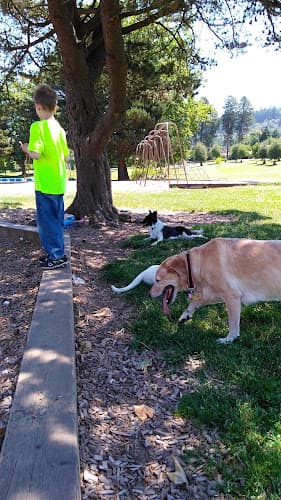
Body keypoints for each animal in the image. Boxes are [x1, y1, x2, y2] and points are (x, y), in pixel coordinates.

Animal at [150, 238, 281, 344]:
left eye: (157, 280)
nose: (149, 294)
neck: (199, 263)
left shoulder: (232, 296)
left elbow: (233, 323)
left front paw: (229, 339)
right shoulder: (213, 293)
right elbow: (196, 301)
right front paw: (186, 314)